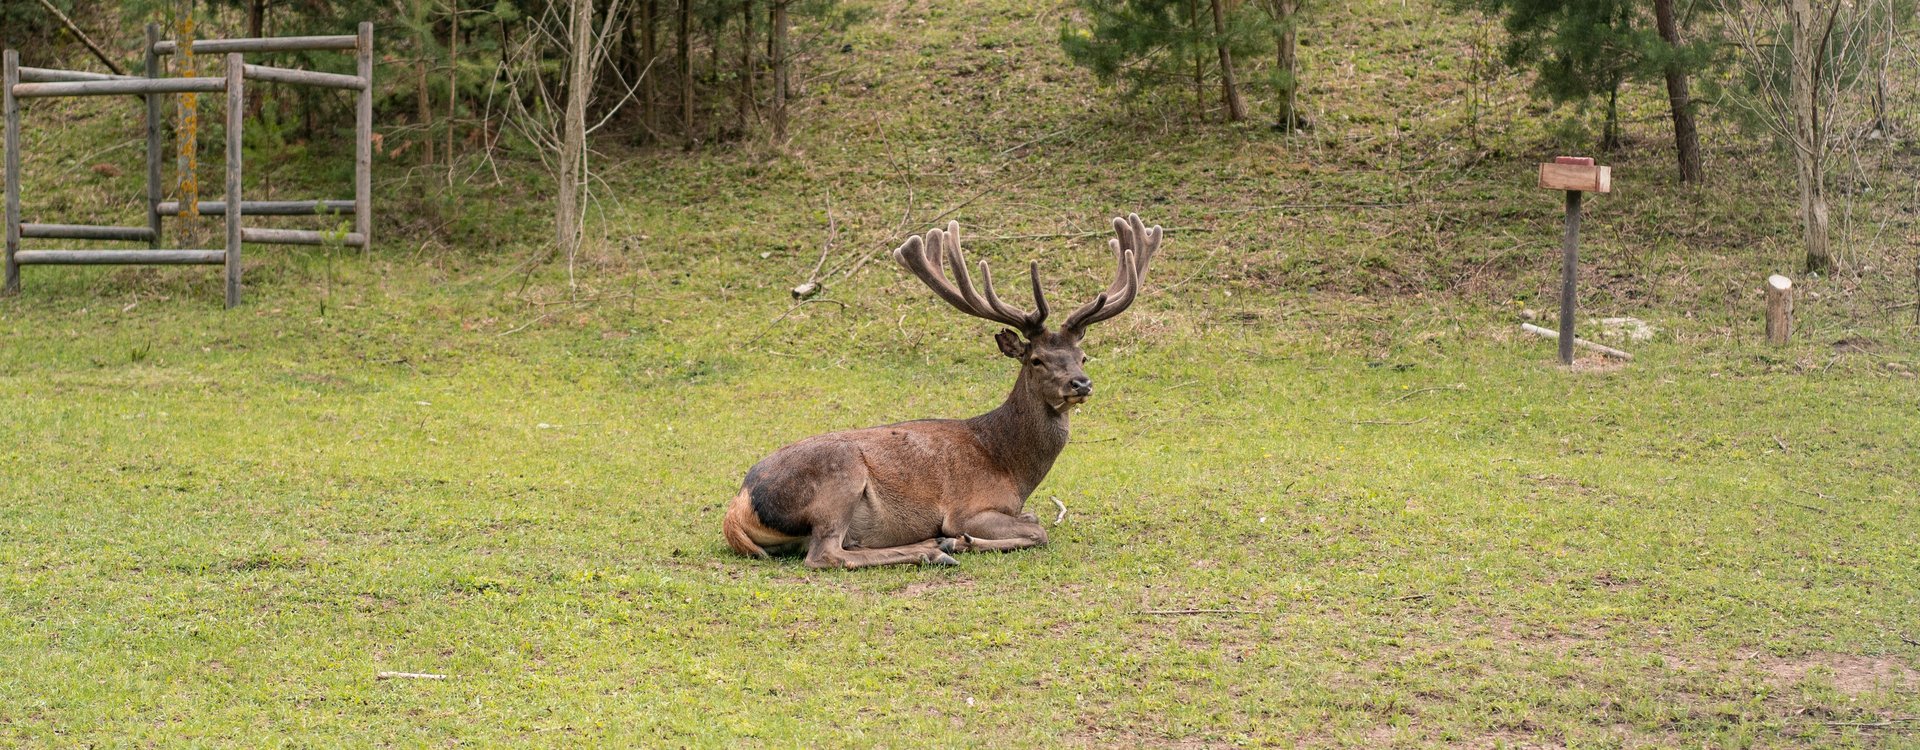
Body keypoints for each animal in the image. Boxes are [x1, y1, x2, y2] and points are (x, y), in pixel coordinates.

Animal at [721, 210, 1159, 571]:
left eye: (1083, 356)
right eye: (1036, 360)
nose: (1080, 384)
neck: (1012, 466)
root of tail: (738, 506)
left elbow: (1034, 520)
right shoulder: (968, 507)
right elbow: (1038, 530)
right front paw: (961, 540)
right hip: (838, 479)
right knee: (825, 554)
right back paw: (935, 550)